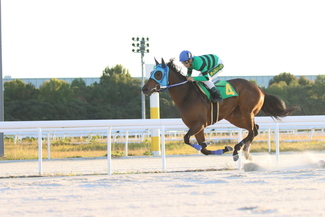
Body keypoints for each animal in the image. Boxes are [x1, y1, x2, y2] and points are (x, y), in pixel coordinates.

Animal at [142, 58, 294, 161]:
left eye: (158, 74)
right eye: (151, 72)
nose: (144, 89)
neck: (187, 96)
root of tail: (260, 89)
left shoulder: (199, 124)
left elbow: (186, 139)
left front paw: (209, 144)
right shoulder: (197, 127)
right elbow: (203, 149)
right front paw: (221, 148)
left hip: (247, 112)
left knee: (252, 131)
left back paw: (238, 150)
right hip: (235, 116)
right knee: (255, 129)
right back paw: (244, 152)